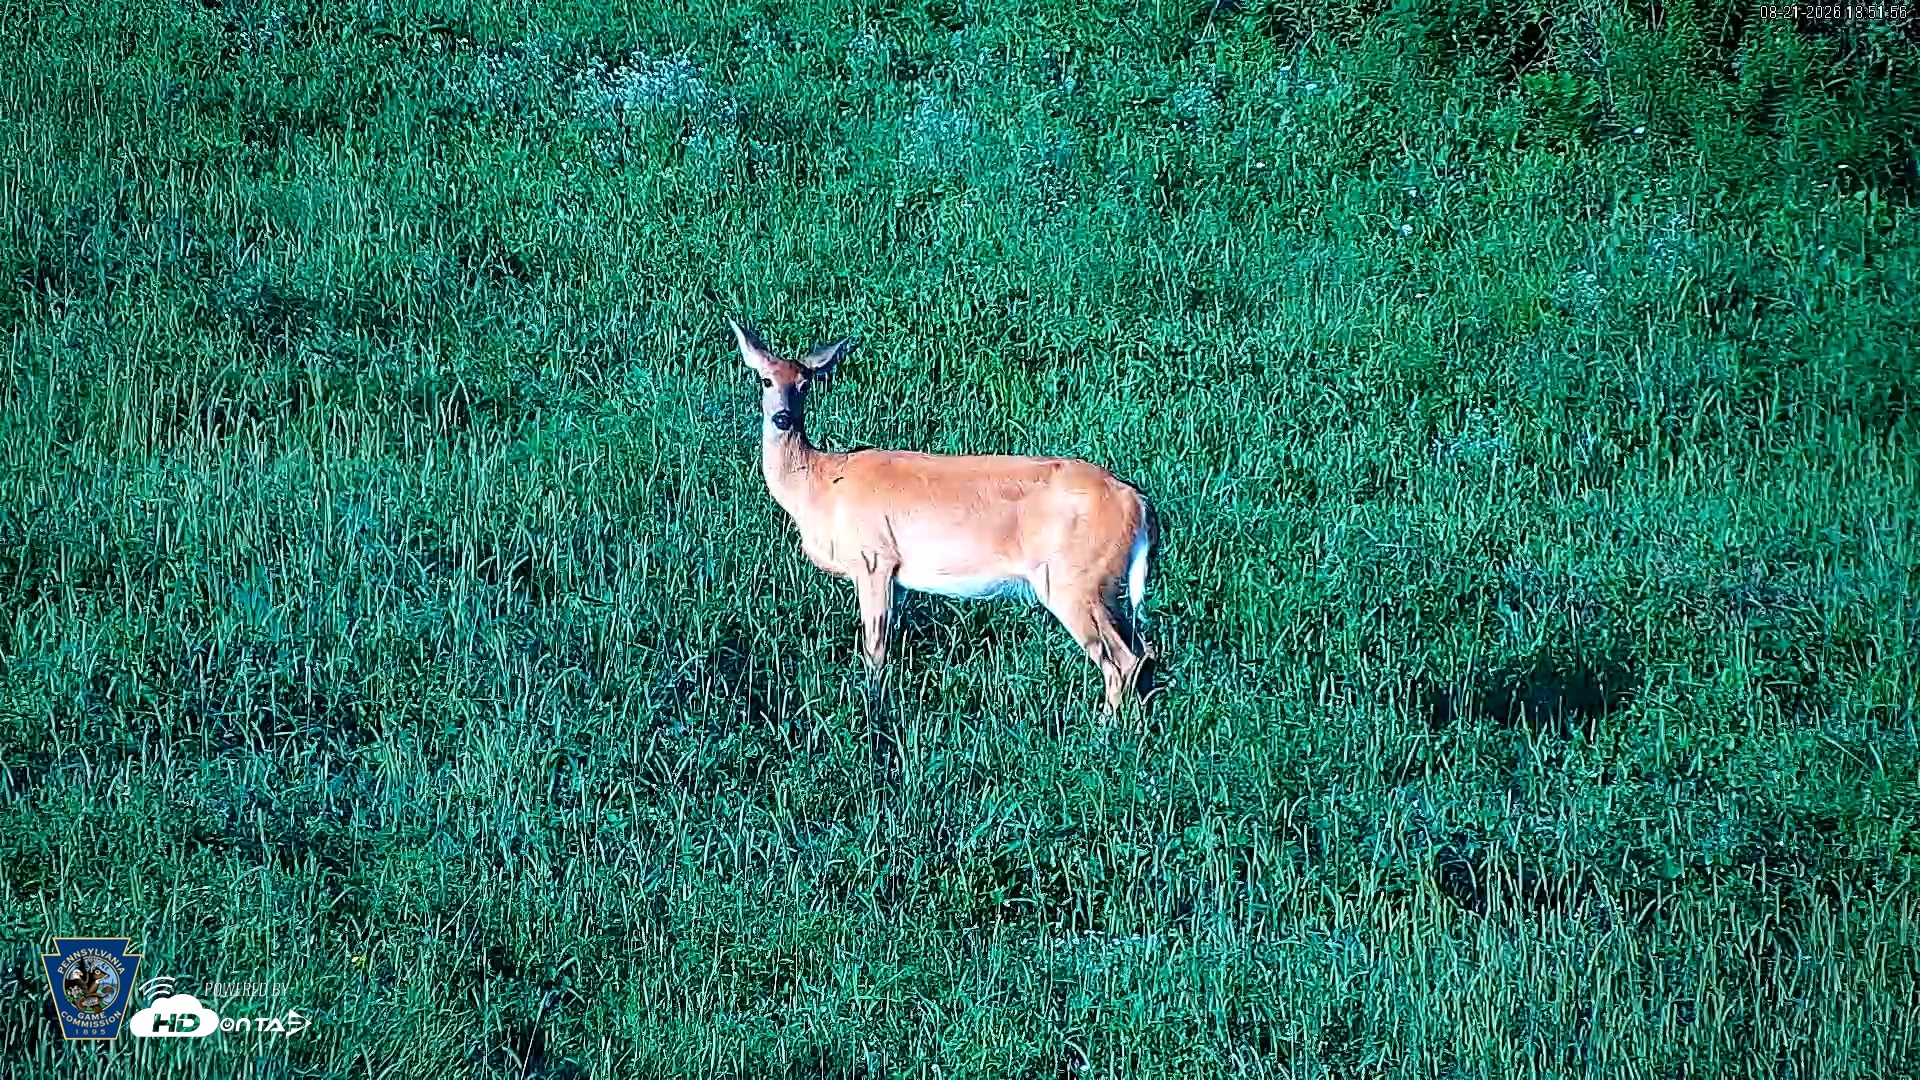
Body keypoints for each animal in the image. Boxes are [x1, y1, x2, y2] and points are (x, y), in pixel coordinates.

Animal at [729, 318, 1156, 712]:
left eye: (805, 385)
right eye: (766, 380)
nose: (783, 418)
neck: (819, 486)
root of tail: (1137, 503)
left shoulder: (873, 559)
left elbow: (874, 652)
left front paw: (873, 713)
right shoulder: (896, 578)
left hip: (1073, 579)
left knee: (1122, 660)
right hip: (1104, 585)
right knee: (1145, 652)